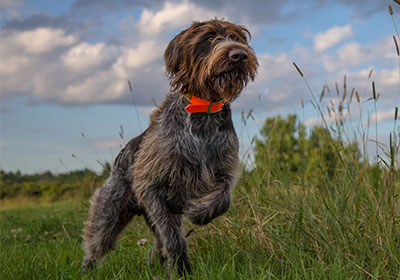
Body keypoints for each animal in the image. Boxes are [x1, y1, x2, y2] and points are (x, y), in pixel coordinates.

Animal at [81, 18, 260, 276]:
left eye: (237, 38)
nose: (239, 55)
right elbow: (172, 238)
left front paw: (198, 210)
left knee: (157, 244)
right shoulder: (151, 188)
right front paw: (182, 269)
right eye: (209, 38)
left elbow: (223, 199)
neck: (203, 115)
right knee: (97, 242)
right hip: (110, 210)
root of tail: (122, 155)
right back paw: (88, 270)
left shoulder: (223, 169)